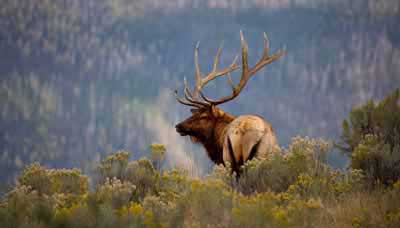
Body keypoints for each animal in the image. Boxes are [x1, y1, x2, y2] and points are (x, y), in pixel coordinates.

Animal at [175, 31, 284, 175]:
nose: (178, 126)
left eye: (203, 116)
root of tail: (244, 132)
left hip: (231, 159)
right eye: (195, 113)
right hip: (256, 156)